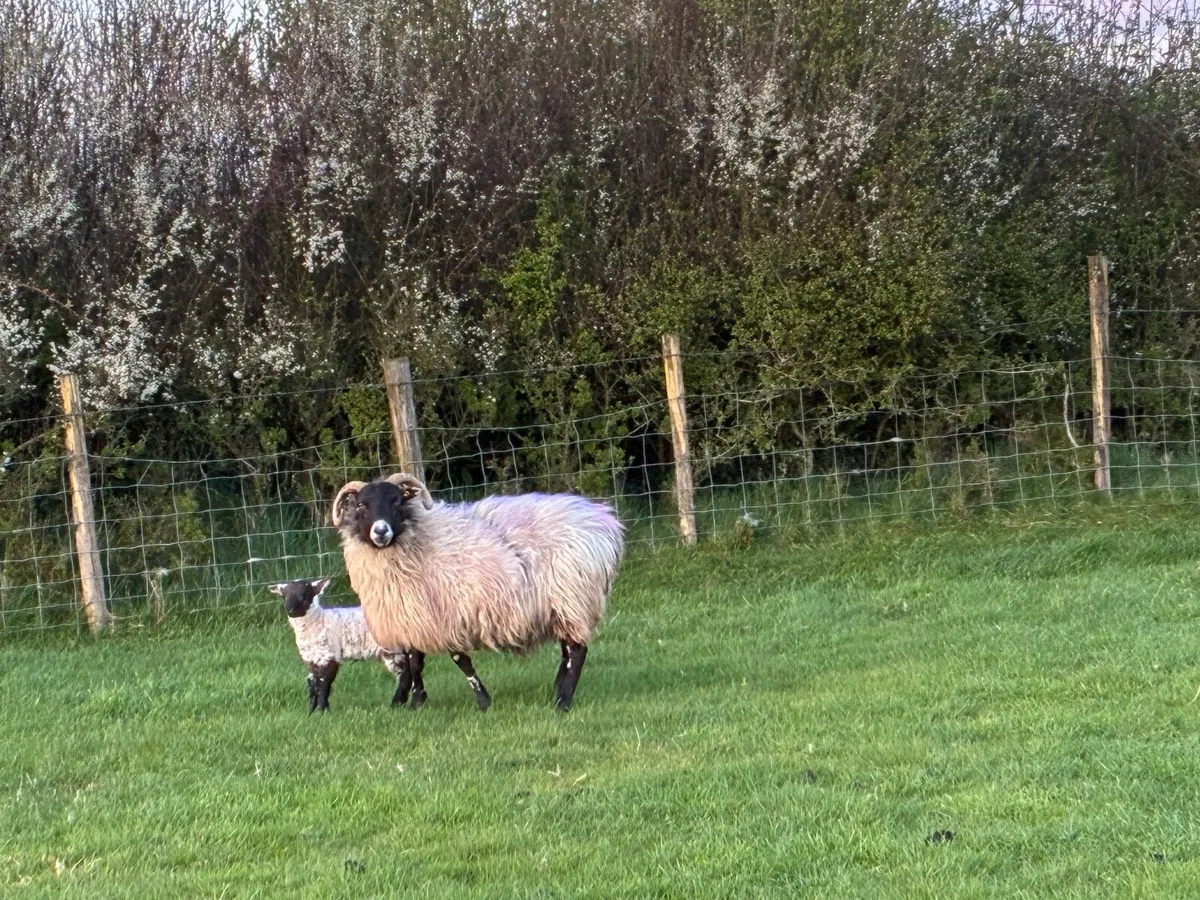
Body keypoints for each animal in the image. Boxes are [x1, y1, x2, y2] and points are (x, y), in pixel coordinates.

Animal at [331, 472, 624, 711]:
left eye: (396, 501)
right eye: (361, 505)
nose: (381, 531)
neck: (418, 539)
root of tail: (605, 525)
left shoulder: (445, 616)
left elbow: (459, 660)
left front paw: (482, 701)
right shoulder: (413, 616)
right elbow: (414, 662)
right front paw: (408, 701)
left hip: (573, 595)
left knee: (577, 651)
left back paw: (562, 702)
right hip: (561, 605)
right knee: (567, 649)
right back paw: (556, 689)